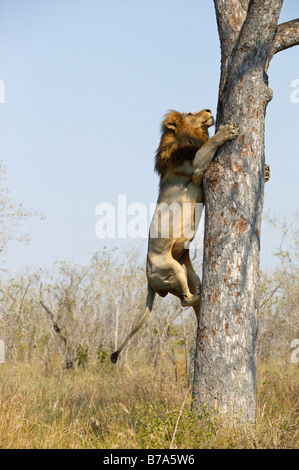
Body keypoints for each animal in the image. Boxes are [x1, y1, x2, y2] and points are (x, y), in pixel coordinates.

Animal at [110, 107, 270, 364]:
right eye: (190, 113)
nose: (208, 109)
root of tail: (149, 282)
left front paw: (265, 172)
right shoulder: (195, 168)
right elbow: (208, 146)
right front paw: (225, 131)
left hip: (188, 272)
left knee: (192, 300)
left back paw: (201, 301)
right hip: (171, 269)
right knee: (185, 301)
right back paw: (199, 296)